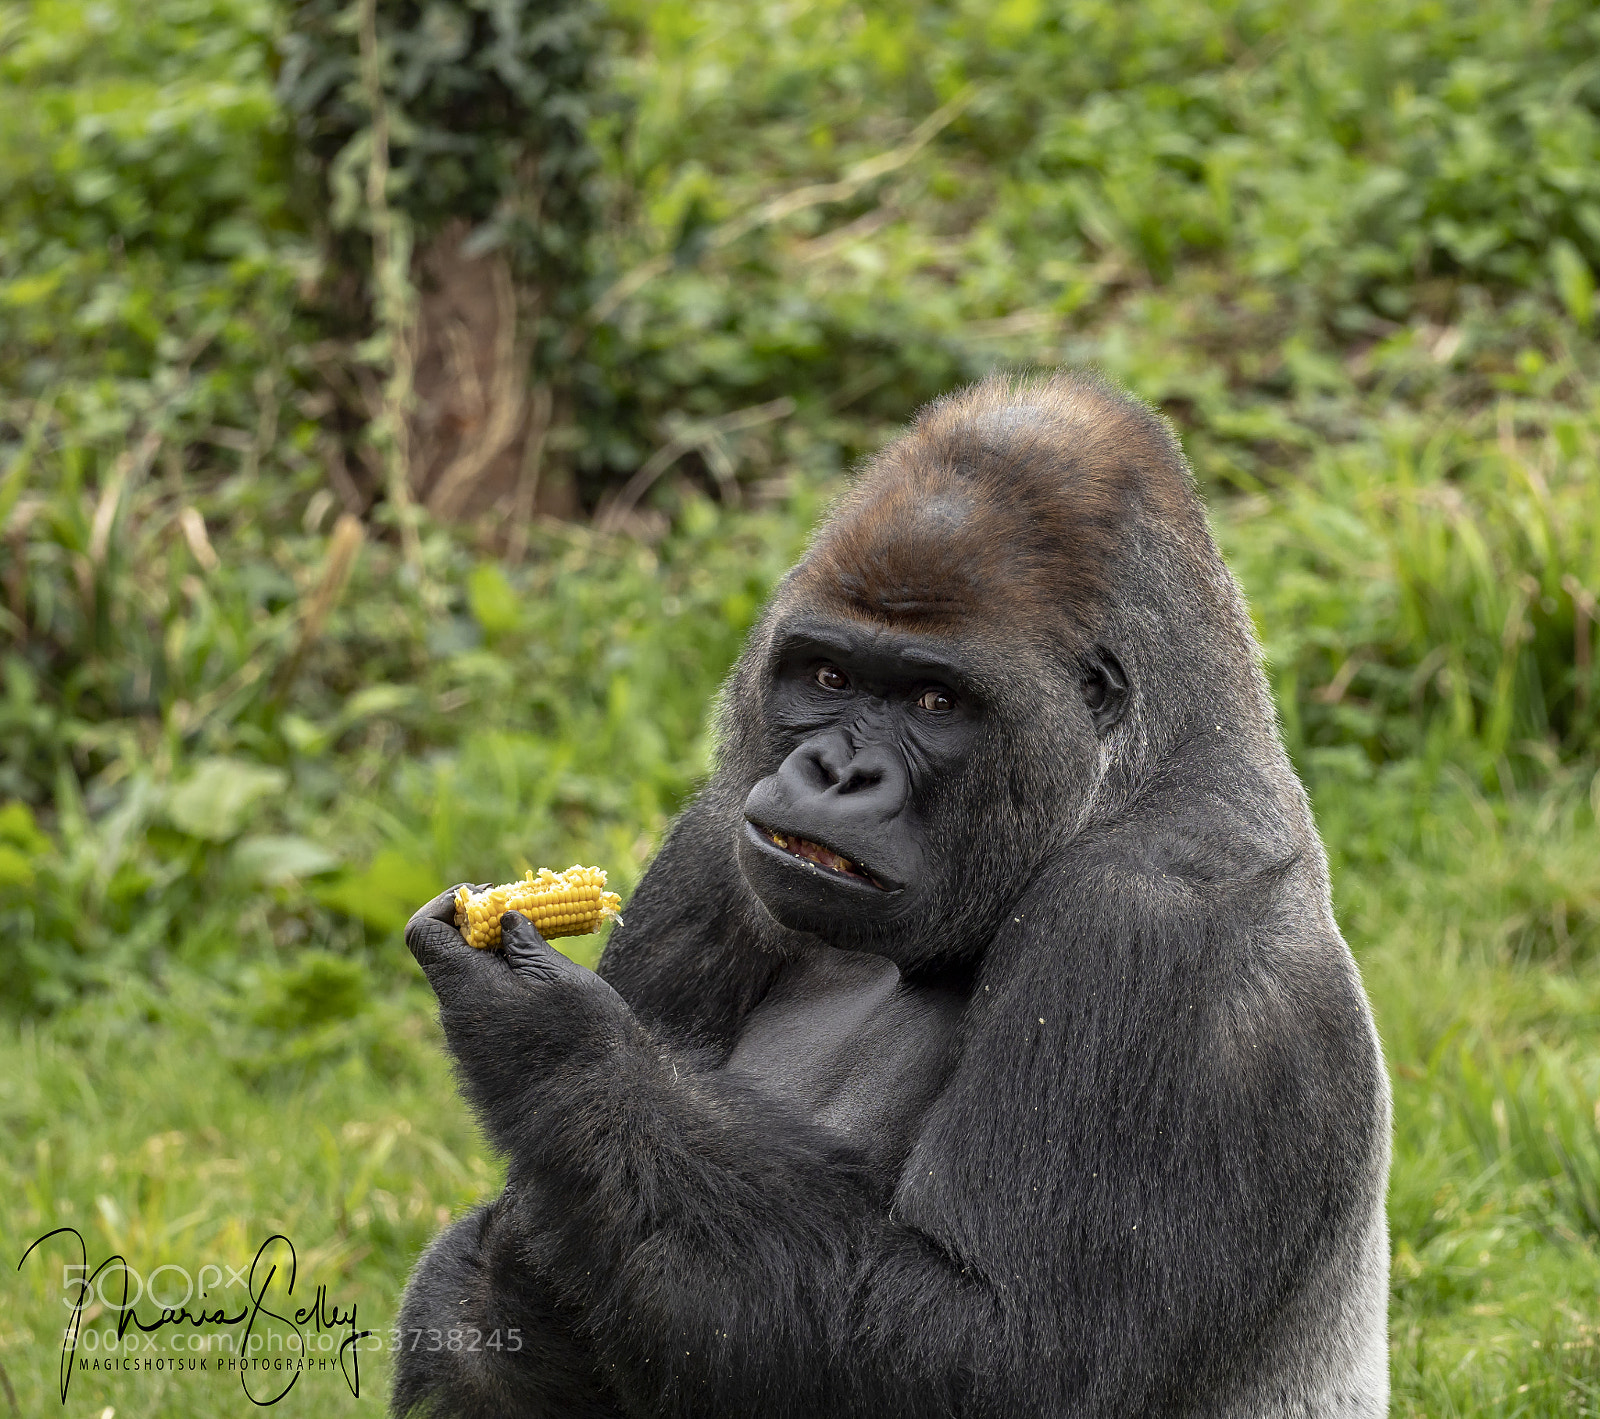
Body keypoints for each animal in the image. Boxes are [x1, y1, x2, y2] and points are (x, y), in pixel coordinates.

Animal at [396, 370, 1391, 1418]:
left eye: (934, 701)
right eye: (828, 674)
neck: (1139, 771)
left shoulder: (1152, 926)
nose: (837, 773)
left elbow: (999, 1348)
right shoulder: (717, 837)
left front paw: (559, 1047)